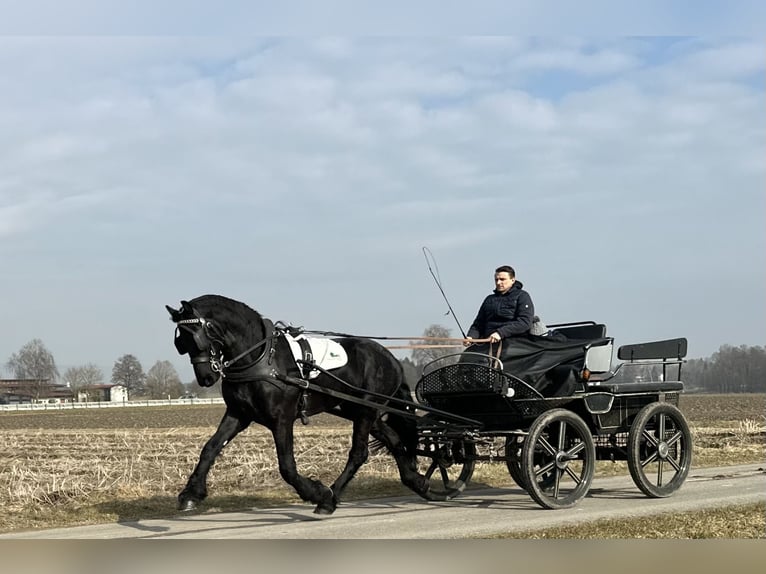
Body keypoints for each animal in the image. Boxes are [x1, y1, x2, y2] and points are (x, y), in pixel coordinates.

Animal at [166, 294, 432, 516]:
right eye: (181, 342)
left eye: (196, 334)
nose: (205, 378)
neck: (263, 357)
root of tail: (391, 359)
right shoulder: (238, 414)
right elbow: (210, 448)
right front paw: (191, 494)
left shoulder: (281, 419)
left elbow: (286, 466)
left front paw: (317, 492)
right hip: (361, 412)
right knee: (394, 440)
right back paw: (416, 481)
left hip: (366, 410)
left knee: (359, 453)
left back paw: (330, 498)